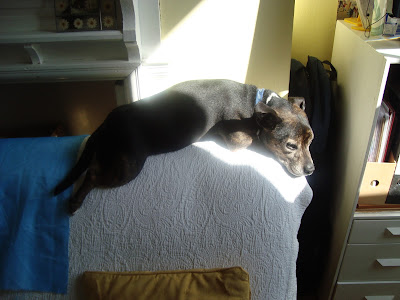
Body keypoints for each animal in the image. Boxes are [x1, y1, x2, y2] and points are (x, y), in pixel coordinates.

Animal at [54, 79, 314, 214]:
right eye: (291, 146)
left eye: (311, 141)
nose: (311, 170)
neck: (257, 104)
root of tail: (107, 121)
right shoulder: (238, 139)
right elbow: (254, 141)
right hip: (128, 167)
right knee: (92, 174)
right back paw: (75, 202)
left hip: (113, 155)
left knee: (93, 165)